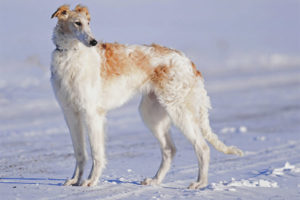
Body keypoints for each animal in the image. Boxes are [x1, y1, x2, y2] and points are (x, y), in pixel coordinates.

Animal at [50, 4, 243, 189]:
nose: (93, 41)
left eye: (88, 23)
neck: (70, 54)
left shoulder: (92, 114)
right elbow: (80, 153)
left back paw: (200, 183)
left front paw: (90, 181)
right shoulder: (70, 113)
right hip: (151, 114)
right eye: (77, 23)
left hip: (178, 111)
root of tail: (188, 62)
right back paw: (155, 180)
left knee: (202, 147)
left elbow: (96, 153)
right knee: (170, 149)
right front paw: (74, 180)